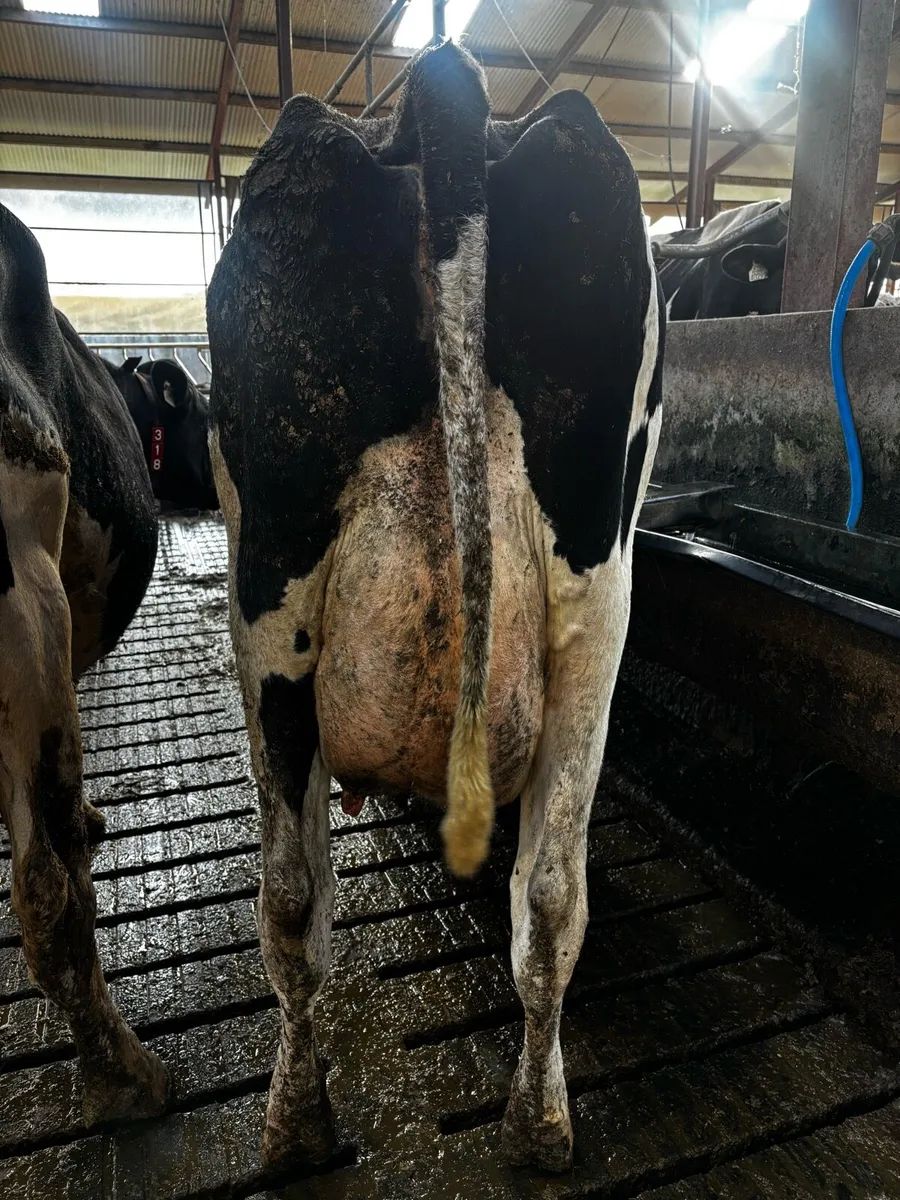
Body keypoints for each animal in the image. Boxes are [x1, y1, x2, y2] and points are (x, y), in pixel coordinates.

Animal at [206, 41, 663, 1172]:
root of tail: (441, 85)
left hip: (269, 592)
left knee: (293, 901)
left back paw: (298, 1122)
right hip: (594, 595)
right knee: (546, 898)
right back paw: (537, 1127)